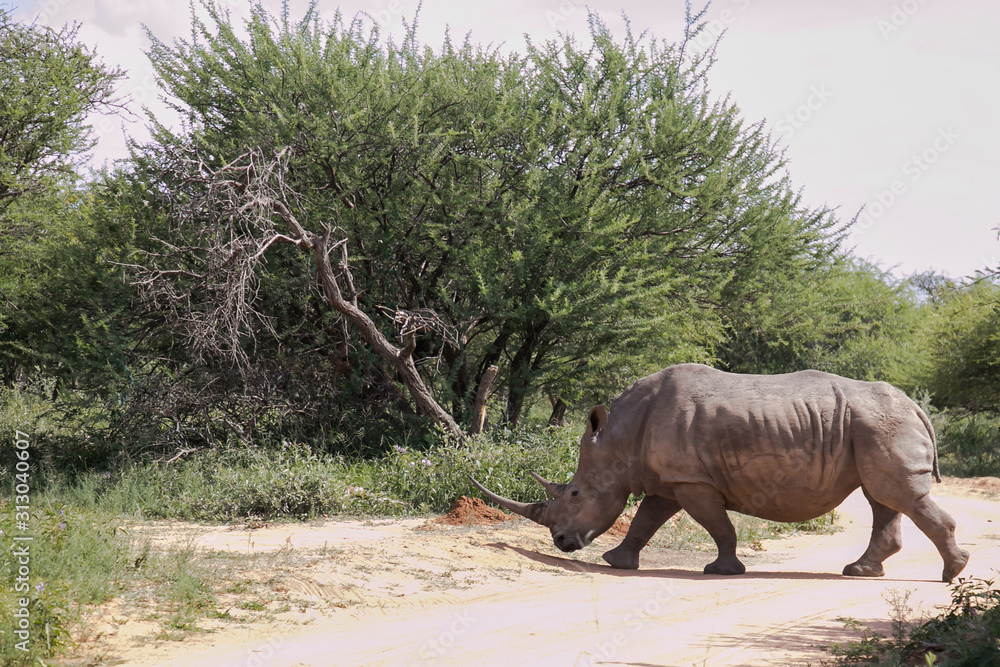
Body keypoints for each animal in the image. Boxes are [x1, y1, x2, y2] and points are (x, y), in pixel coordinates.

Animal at [471, 364, 969, 581]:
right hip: (872, 427)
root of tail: (916, 406)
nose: (561, 542)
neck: (618, 436)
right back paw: (860, 572)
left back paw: (951, 576)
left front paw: (722, 571)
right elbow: (646, 520)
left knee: (896, 494)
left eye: (574, 494)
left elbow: (718, 525)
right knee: (882, 496)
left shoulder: (692, 479)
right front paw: (617, 562)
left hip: (881, 425)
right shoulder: (671, 480)